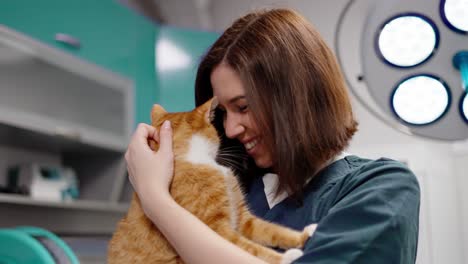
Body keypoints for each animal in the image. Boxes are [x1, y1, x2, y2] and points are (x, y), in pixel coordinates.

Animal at [108, 98, 316, 264]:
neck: (196, 159)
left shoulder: (244, 219)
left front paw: (304, 235)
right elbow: (250, 249)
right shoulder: (217, 230)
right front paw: (286, 257)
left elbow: (273, 230)